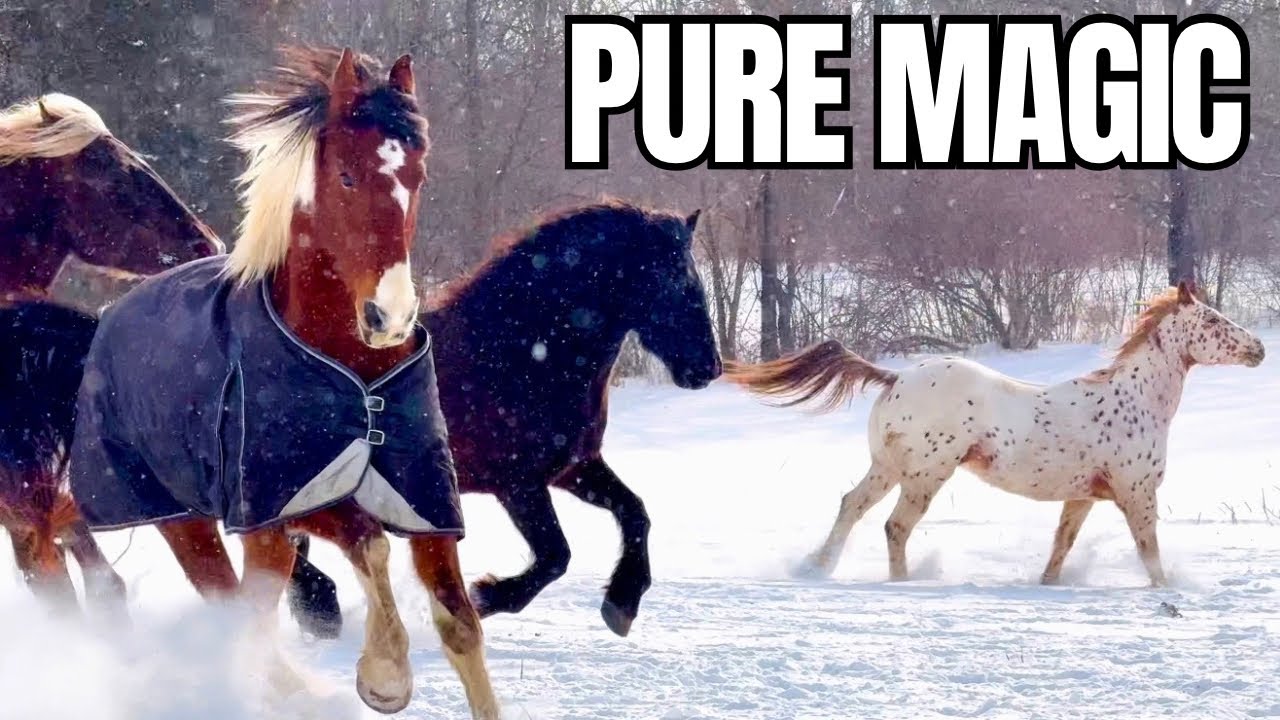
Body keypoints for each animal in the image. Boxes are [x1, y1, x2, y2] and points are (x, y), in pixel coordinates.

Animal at [66, 47, 498, 717]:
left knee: (246, 614)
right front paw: (384, 676)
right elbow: (368, 541)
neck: (359, 382)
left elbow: (460, 623)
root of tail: (113, 312)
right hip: (182, 516)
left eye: (418, 178)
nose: (391, 317)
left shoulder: (426, 502)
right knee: (236, 609)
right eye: (346, 177)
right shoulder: (284, 499)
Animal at [286, 201, 723, 638]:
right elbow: (556, 555)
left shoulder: (573, 468)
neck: (522, 354)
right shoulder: (518, 484)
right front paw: (484, 597)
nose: (710, 366)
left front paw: (622, 604)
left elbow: (635, 512)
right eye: (674, 279)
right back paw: (322, 608)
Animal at [725, 281, 1264, 587]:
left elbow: (1061, 547)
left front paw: (1047, 584)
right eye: (1212, 319)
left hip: (887, 467)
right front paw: (1168, 592)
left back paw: (819, 567)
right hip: (925, 476)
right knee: (895, 526)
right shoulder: (1137, 494)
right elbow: (1149, 553)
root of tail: (896, 377)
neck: (1134, 402)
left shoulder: (1083, 497)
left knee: (851, 507)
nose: (1258, 348)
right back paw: (902, 582)